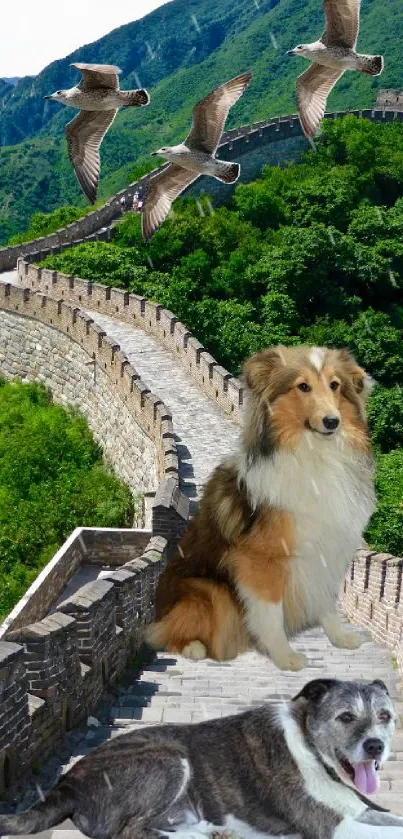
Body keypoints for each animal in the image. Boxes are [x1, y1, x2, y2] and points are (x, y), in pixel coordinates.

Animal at [0, 676, 403, 839]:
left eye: (385, 715)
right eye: (346, 717)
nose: (375, 746)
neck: (313, 750)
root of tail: (67, 780)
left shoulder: (359, 811)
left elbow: (394, 820)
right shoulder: (332, 827)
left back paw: (209, 829)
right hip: (169, 758)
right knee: (129, 831)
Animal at [147, 344, 378, 672]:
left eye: (335, 385)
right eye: (303, 386)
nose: (333, 422)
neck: (315, 456)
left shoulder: (327, 549)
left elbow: (326, 599)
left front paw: (340, 637)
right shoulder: (261, 559)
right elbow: (270, 612)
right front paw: (285, 656)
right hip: (207, 590)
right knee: (166, 632)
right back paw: (193, 647)